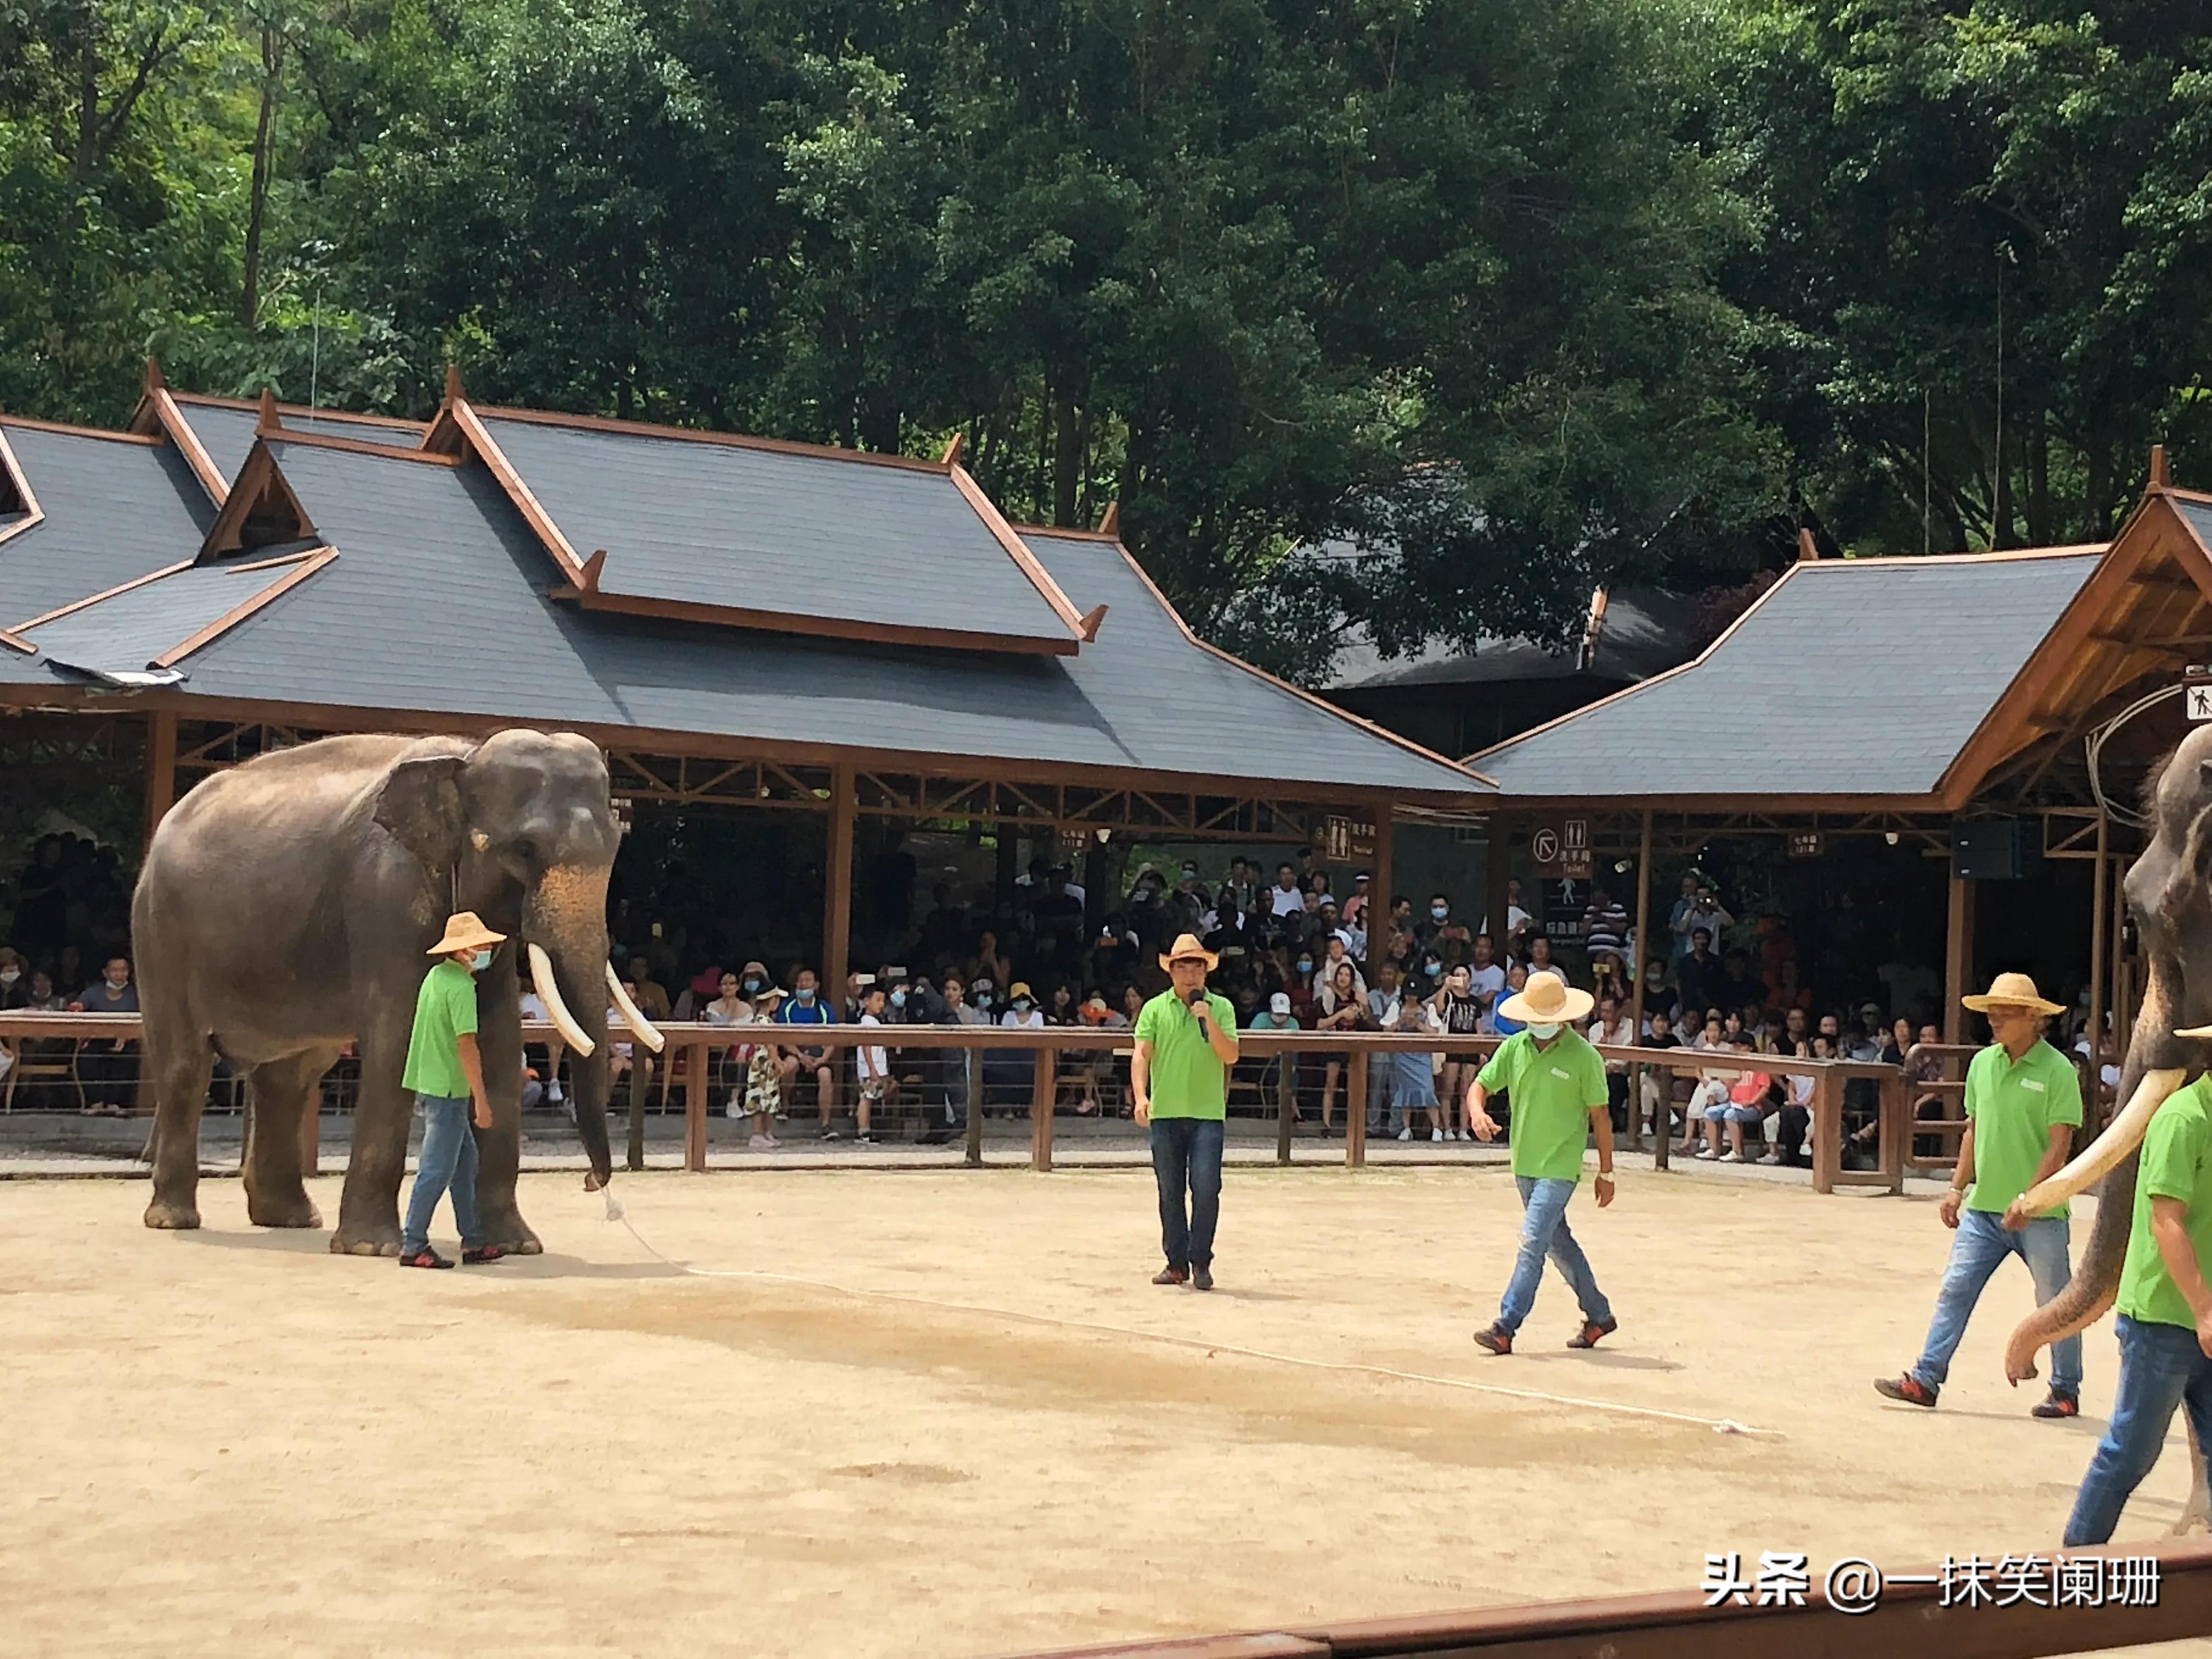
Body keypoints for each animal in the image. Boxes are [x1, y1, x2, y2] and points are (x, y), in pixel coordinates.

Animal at [134, 729, 659, 1254]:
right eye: (526, 849)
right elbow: (398, 1037)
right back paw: (174, 1220)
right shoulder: (385, 894)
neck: (465, 758)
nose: (592, 1183)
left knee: (293, 1074)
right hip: (161, 933)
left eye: (615, 846)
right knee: (187, 1065)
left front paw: (517, 1247)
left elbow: (499, 1043)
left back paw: (290, 1219)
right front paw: (372, 1248)